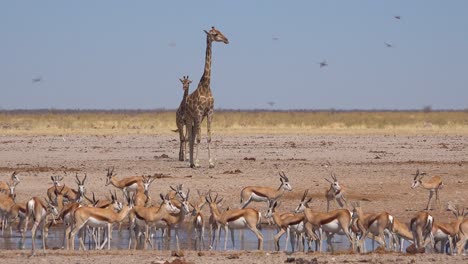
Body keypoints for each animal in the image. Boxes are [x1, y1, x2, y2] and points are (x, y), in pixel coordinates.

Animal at [186, 26, 230, 167]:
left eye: (221, 31)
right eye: (215, 34)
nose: (226, 40)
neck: (206, 85)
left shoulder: (209, 112)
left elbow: (209, 137)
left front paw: (211, 162)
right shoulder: (199, 112)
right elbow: (199, 138)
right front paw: (198, 162)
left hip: (197, 119)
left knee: (193, 135)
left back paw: (192, 162)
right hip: (190, 117)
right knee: (191, 137)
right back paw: (191, 163)